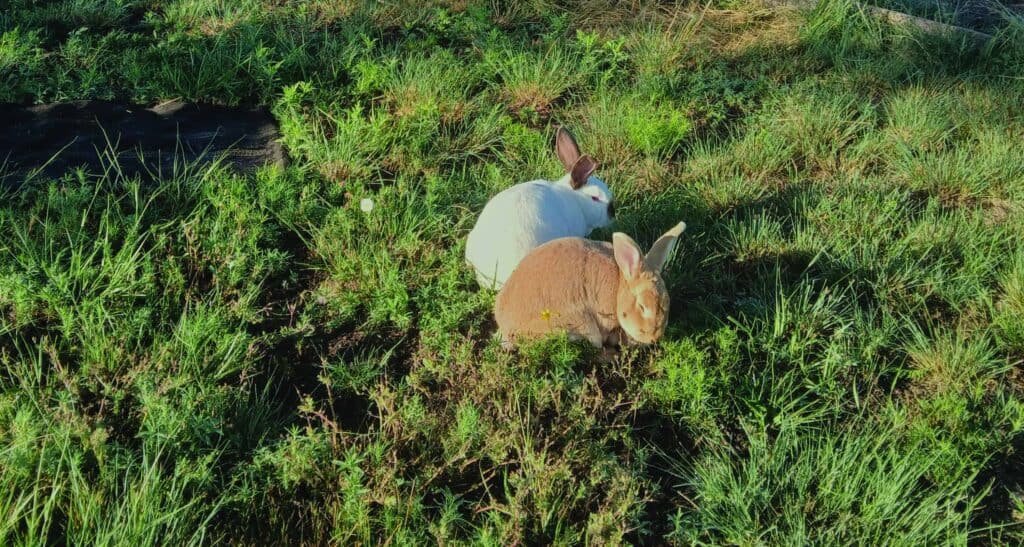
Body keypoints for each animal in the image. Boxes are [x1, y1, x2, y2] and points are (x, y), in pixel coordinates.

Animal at [494, 221, 686, 350]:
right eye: (642, 306)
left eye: (667, 303)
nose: (655, 338)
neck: (619, 286)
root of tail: (506, 327)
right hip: (580, 324)